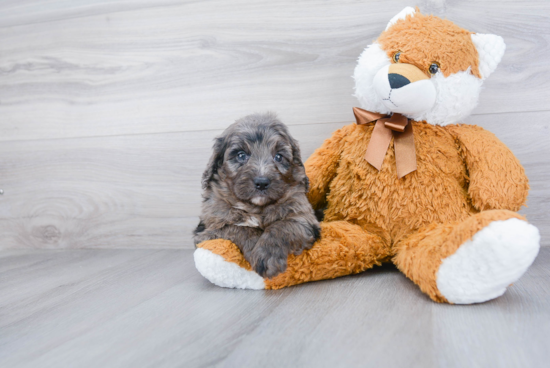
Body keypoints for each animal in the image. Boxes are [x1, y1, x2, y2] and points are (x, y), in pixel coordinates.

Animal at [195, 113, 322, 278]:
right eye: (241, 155)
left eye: (278, 157)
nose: (262, 183)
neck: (256, 208)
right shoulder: (209, 229)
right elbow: (240, 228)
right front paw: (255, 245)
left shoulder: (302, 216)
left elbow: (282, 226)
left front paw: (267, 255)